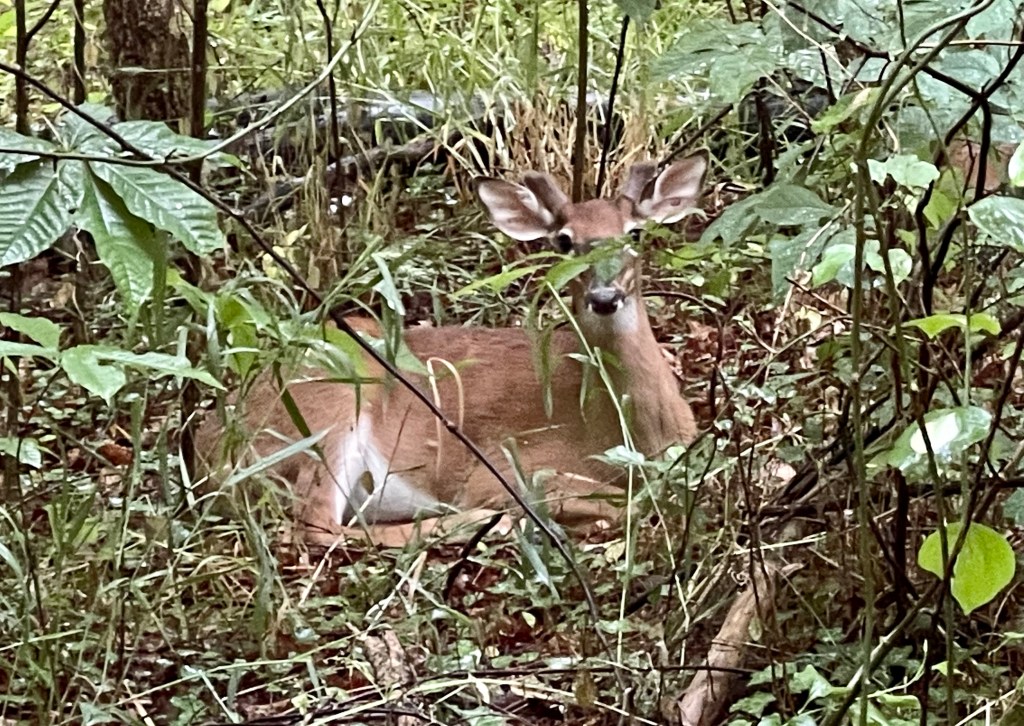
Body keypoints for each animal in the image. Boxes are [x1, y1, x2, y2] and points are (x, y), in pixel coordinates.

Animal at [196, 155, 706, 547]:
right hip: (327, 402)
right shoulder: (507, 463)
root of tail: (207, 451)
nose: (604, 297)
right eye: (564, 242)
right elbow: (616, 502)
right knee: (315, 526)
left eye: (635, 232)